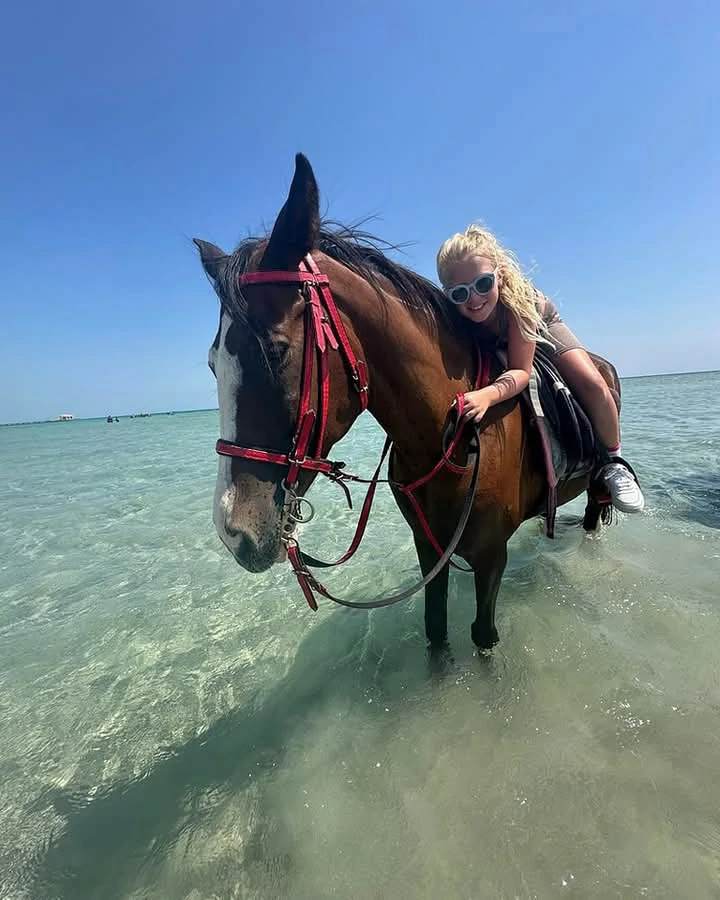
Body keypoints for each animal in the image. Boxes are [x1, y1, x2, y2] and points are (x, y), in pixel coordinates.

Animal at [194, 154, 618, 650]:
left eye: (274, 351)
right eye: (212, 363)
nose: (233, 532)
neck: (450, 441)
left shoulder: (491, 557)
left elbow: (482, 634)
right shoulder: (429, 551)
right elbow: (435, 631)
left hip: (592, 485)